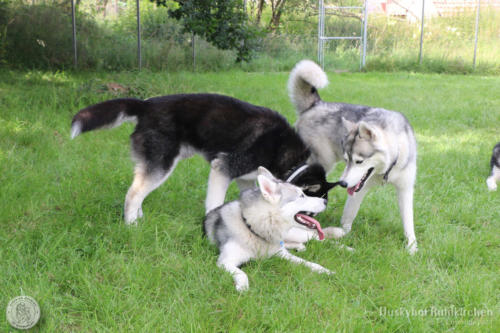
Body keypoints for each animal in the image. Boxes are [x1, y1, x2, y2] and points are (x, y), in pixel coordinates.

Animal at [203, 166, 332, 290]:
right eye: (301, 196)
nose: (325, 201)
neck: (252, 227)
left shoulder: (283, 255)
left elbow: (307, 263)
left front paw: (324, 270)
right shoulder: (225, 262)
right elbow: (242, 274)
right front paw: (243, 287)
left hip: (297, 235)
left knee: (318, 237)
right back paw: (299, 247)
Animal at [288, 59, 420, 253]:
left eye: (359, 161)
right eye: (346, 159)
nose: (342, 184)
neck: (387, 168)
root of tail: (316, 105)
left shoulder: (405, 188)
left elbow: (408, 220)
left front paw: (412, 247)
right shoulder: (358, 188)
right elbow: (348, 216)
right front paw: (342, 234)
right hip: (321, 162)